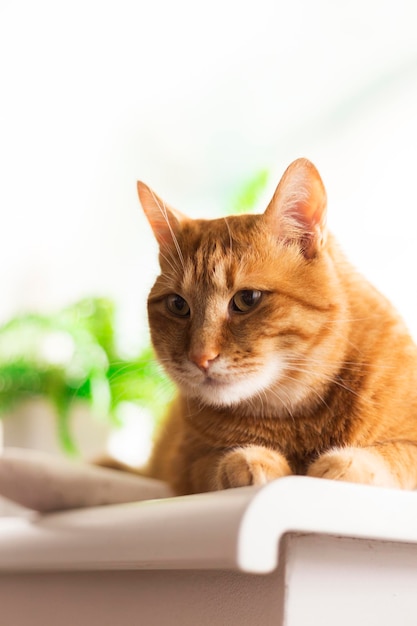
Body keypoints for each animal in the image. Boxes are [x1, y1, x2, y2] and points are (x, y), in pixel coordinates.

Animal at [136, 157, 416, 492]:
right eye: (178, 305)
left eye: (247, 299)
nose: (200, 357)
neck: (300, 417)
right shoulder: (185, 465)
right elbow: (213, 464)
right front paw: (248, 460)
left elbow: (394, 458)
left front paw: (346, 464)